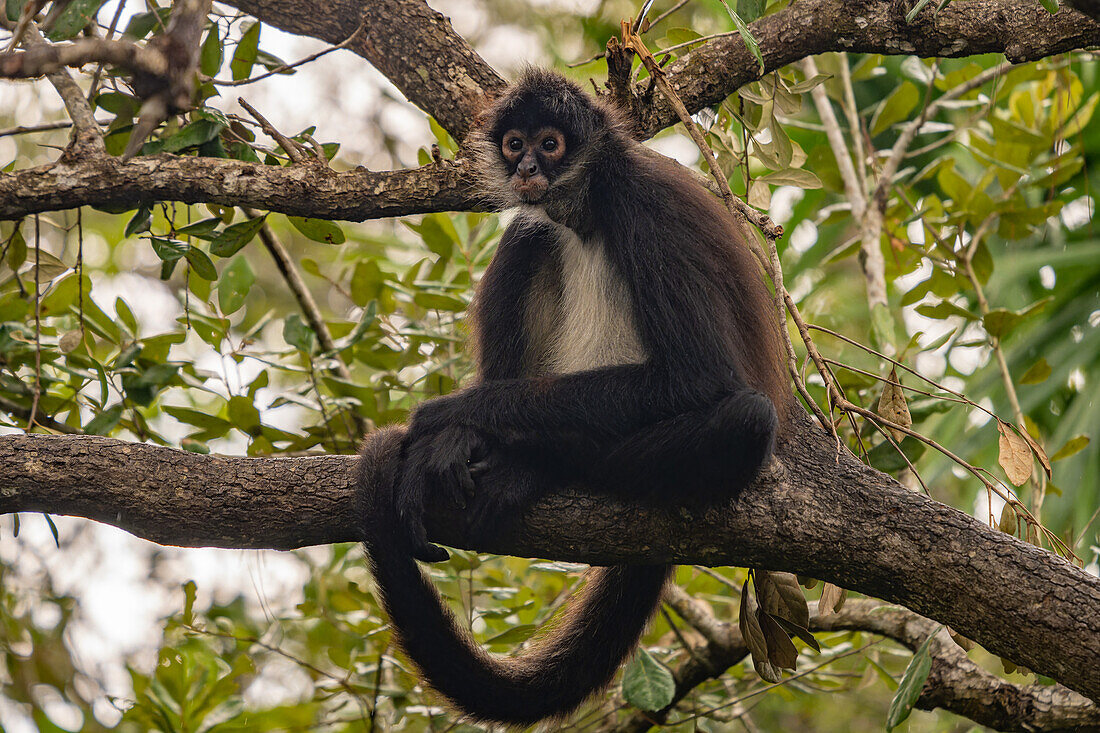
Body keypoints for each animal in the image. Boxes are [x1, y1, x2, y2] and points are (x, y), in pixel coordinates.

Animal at [356, 68, 787, 726]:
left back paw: (539, 463)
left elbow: (701, 377)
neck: (591, 203)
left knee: (746, 416)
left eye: (552, 144)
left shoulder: (643, 208)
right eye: (515, 145)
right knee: (527, 234)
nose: (528, 169)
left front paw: (450, 418)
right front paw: (458, 436)